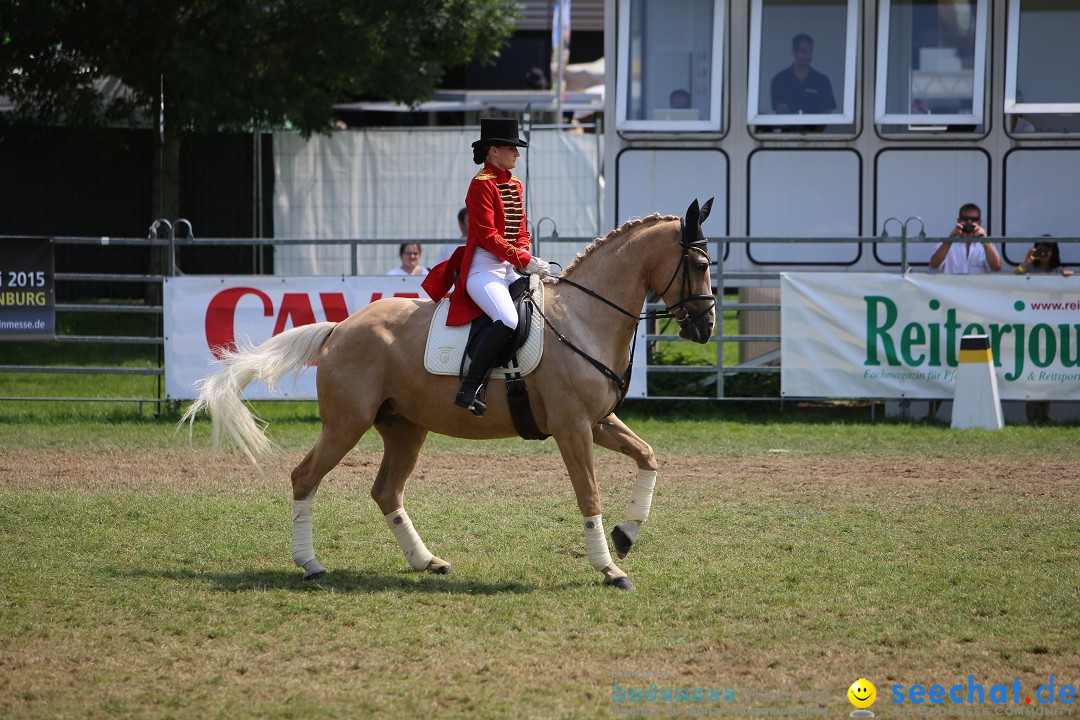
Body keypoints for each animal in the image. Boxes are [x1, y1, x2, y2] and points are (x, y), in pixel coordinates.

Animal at [180, 198, 712, 591]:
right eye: (697, 262)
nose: (705, 326)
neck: (583, 318)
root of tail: (340, 328)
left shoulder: (599, 422)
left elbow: (648, 456)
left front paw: (625, 536)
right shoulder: (573, 428)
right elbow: (589, 494)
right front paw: (610, 568)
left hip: (403, 428)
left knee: (386, 490)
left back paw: (427, 562)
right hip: (345, 425)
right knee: (304, 477)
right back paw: (311, 565)